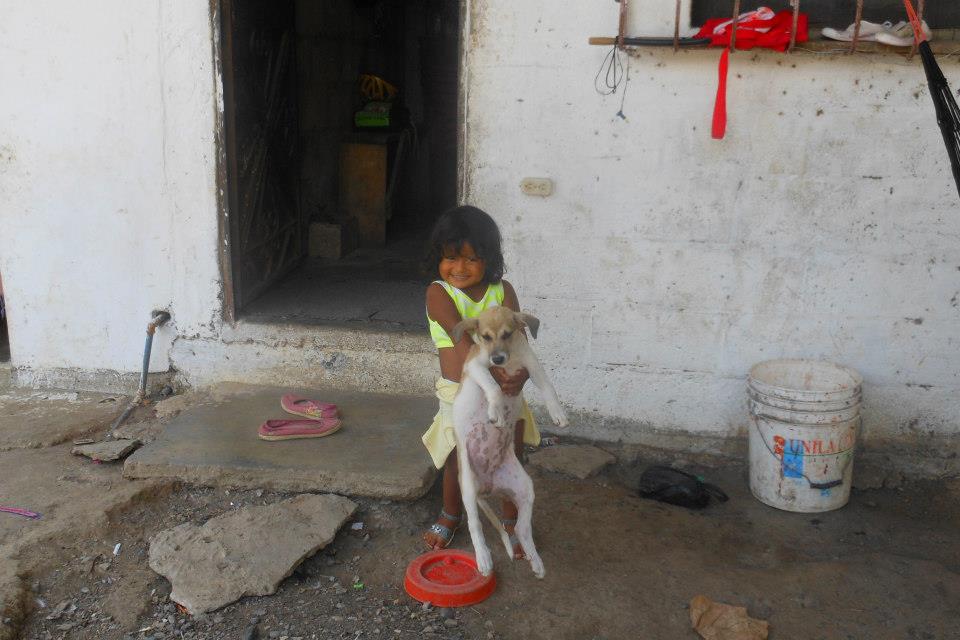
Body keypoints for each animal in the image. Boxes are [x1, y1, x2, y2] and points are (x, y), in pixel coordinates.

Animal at [450, 306, 568, 579]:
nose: (498, 360)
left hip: (525, 488)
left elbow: (549, 387)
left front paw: (558, 413)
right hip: (468, 487)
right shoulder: (476, 365)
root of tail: (488, 487)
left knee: (521, 529)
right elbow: (493, 385)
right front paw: (495, 411)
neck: (511, 356)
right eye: (485, 337)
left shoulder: (532, 366)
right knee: (474, 525)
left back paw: (535, 560)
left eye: (507, 334)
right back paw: (483, 558)